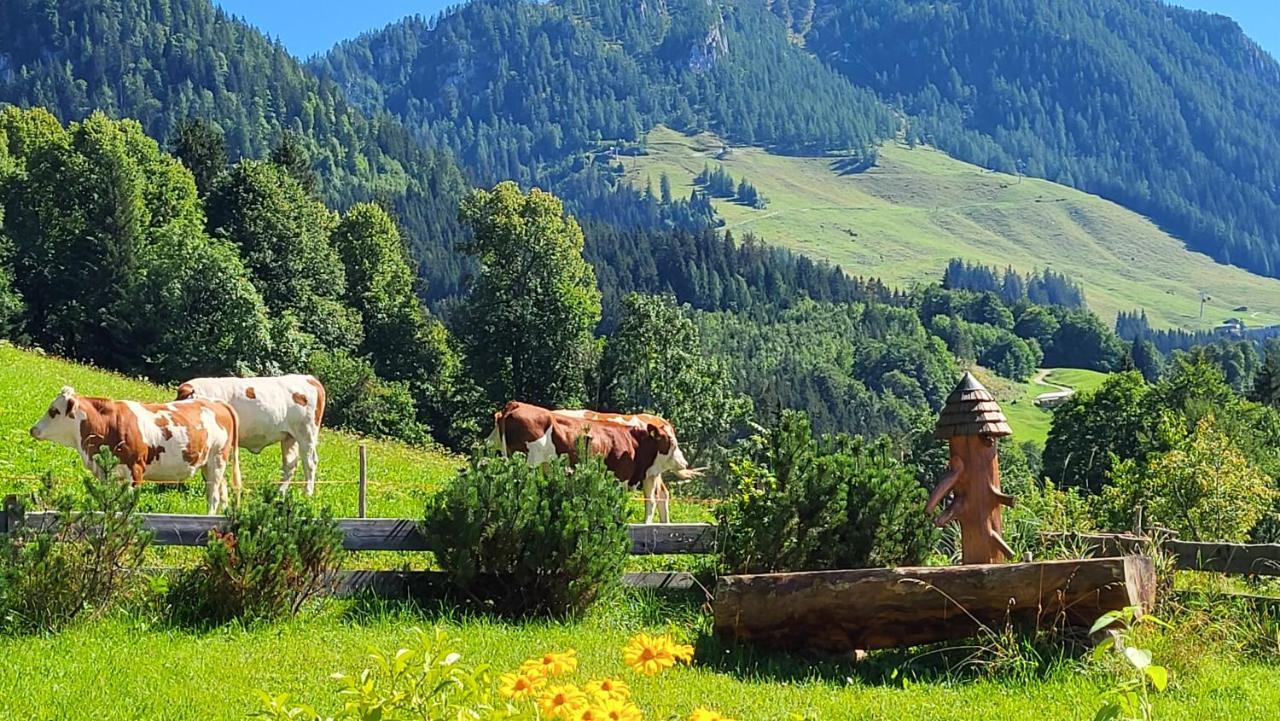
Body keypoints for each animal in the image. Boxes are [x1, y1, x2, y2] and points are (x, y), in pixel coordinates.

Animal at [26, 386, 241, 517]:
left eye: (53, 411)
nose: (33, 429)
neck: (109, 425)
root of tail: (217, 403)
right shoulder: (108, 474)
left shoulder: (135, 470)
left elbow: (128, 504)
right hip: (208, 464)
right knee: (222, 492)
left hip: (217, 461)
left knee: (213, 495)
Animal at [175, 371, 325, 496]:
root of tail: (310, 379)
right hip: (289, 437)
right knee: (290, 464)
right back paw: (280, 493)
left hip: (306, 433)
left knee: (310, 462)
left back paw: (307, 493)